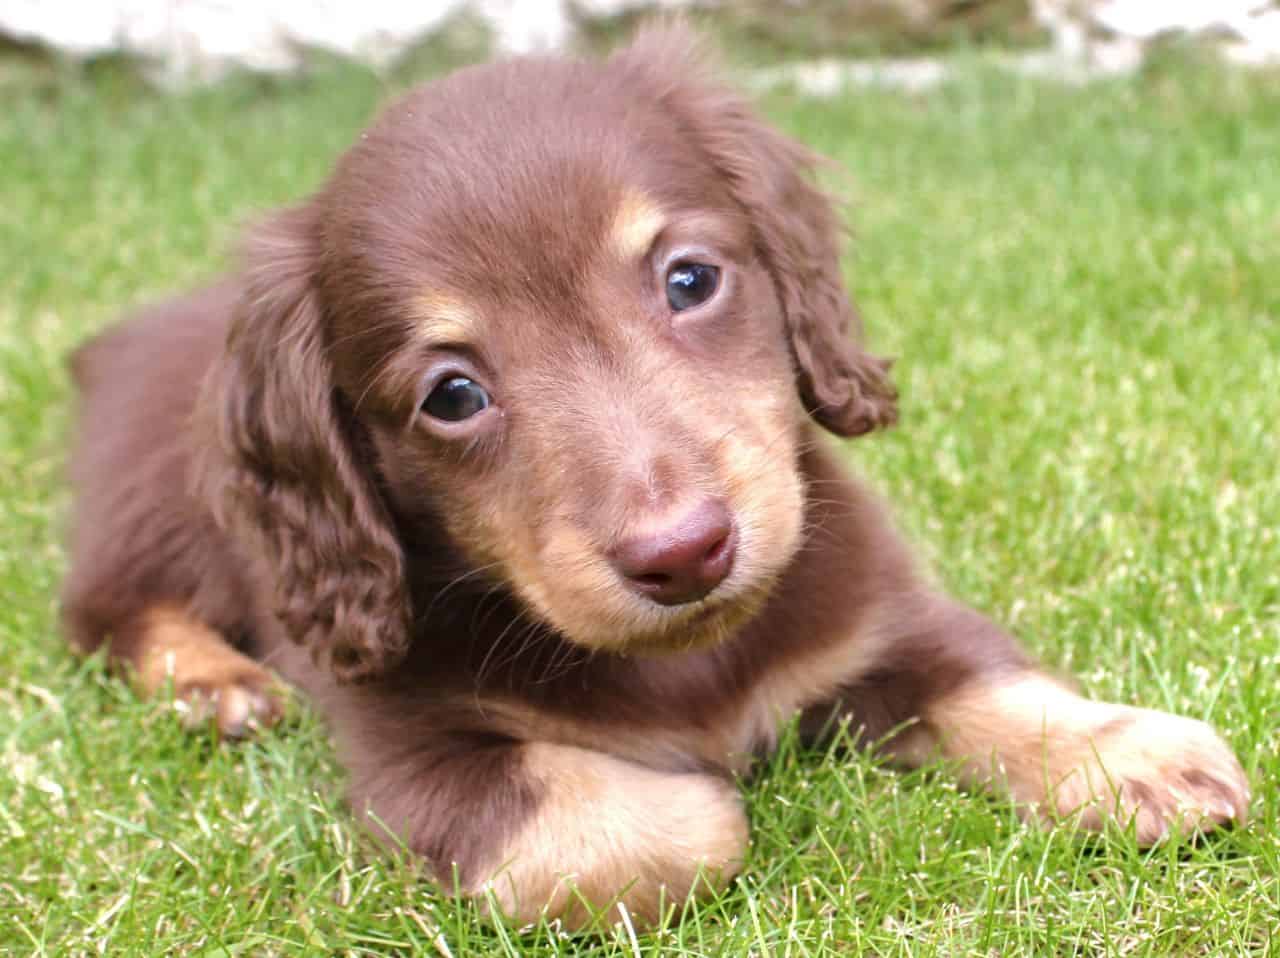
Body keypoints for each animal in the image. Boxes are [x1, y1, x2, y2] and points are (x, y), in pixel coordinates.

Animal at [62, 26, 1249, 927]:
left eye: (688, 279)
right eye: (451, 394)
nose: (684, 554)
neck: (692, 664)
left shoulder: (878, 617)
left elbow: (991, 680)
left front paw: (1124, 752)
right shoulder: (413, 758)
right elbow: (659, 827)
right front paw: (709, 790)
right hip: (154, 517)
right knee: (105, 611)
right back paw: (213, 686)